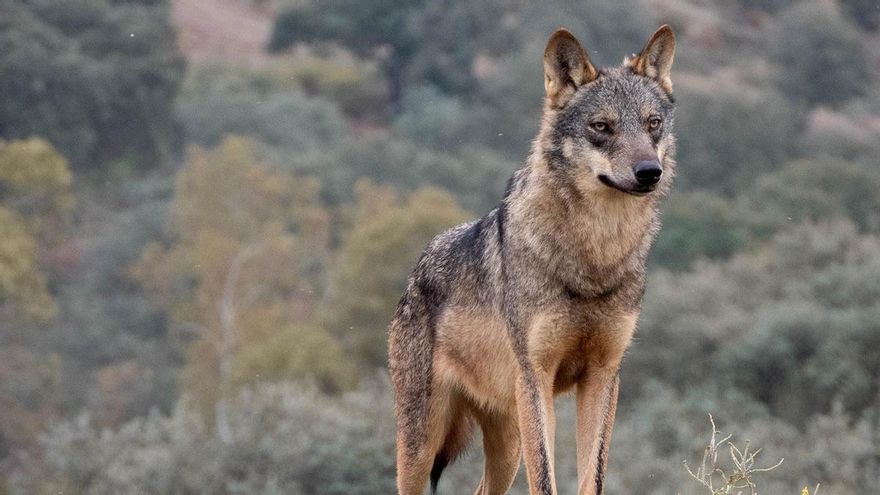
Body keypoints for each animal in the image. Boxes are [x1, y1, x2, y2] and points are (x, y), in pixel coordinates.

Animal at [388, 25, 677, 495]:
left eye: (652, 123)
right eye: (602, 127)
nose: (649, 172)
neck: (594, 258)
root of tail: (416, 269)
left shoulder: (603, 377)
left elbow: (592, 476)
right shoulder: (536, 376)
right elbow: (545, 478)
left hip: (506, 442)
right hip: (422, 444)